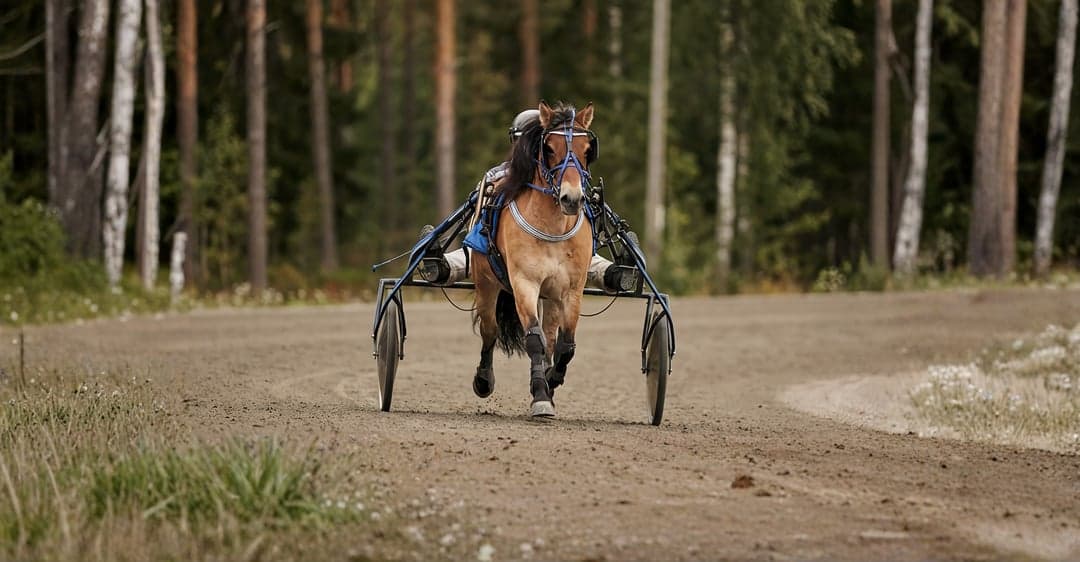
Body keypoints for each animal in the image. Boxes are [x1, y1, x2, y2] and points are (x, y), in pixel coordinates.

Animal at [471, 101, 597, 418]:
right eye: (549, 148)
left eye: (587, 149)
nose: (571, 198)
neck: (553, 228)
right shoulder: (524, 283)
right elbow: (533, 340)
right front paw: (540, 396)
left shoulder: (571, 290)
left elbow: (566, 345)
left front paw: (550, 381)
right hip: (486, 283)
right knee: (489, 331)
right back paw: (484, 379)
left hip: (551, 296)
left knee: (550, 337)